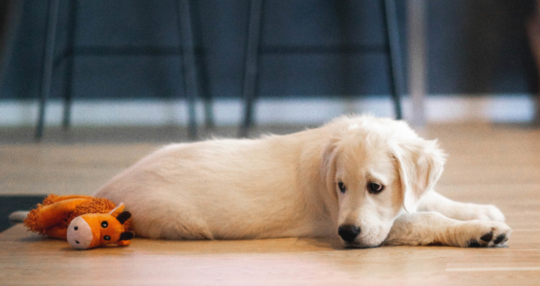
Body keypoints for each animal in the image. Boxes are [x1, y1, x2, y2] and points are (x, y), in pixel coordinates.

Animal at [95, 115, 512, 248]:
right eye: (340, 187)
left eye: (375, 187)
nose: (347, 234)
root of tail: (108, 189)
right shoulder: (336, 222)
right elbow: (424, 219)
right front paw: (480, 231)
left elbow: (431, 199)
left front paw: (482, 210)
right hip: (179, 222)